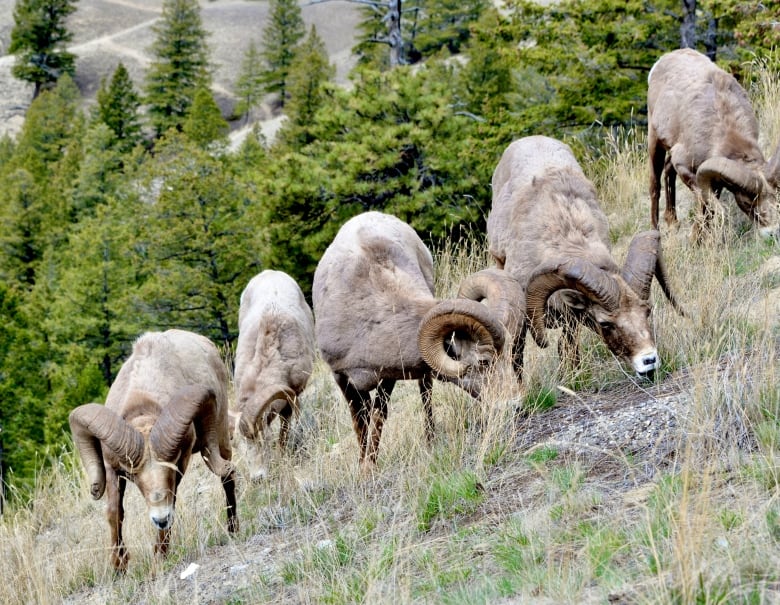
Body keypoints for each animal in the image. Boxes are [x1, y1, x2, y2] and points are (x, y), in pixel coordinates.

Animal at [68, 330, 236, 572]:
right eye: (133, 475)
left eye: (172, 463)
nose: (160, 519)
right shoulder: (112, 470)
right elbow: (114, 513)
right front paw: (119, 566)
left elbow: (172, 501)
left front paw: (160, 556)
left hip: (220, 440)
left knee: (227, 477)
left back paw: (233, 529)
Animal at [312, 211, 506, 468]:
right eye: (484, 362)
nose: (511, 401)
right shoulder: (342, 377)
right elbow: (360, 421)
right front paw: (363, 466)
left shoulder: (387, 378)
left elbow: (379, 415)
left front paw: (370, 466)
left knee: (426, 392)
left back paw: (430, 440)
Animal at [484, 136, 684, 380]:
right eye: (605, 323)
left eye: (647, 311)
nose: (649, 361)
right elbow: (517, 355)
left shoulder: (571, 321)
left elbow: (567, 347)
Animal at [644, 47, 780, 241]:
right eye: (747, 201)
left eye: (777, 197)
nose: (773, 232)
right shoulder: (687, 169)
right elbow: (705, 204)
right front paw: (696, 240)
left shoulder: (714, 181)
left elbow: (708, 209)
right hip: (654, 141)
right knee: (655, 185)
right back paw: (656, 231)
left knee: (668, 172)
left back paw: (673, 223)